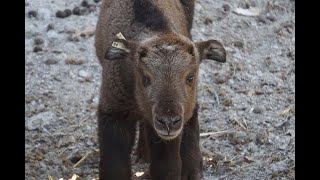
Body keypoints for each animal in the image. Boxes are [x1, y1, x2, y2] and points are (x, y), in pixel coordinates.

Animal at [94, 0, 226, 180]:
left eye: (190, 78)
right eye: (145, 78)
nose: (168, 122)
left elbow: (167, 169)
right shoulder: (113, 114)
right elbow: (114, 169)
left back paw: (192, 169)